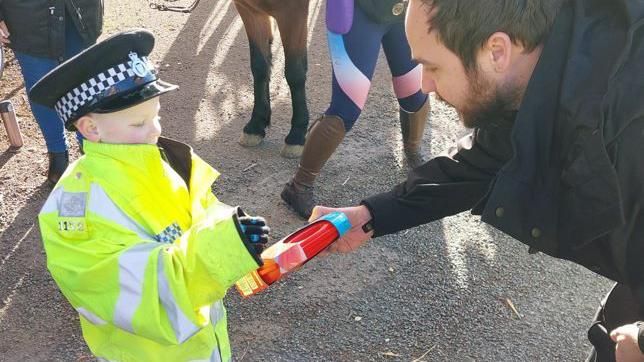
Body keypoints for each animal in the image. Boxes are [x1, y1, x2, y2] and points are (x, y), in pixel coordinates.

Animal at [233, 0, 310, 158]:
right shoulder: (249, 9)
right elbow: (260, 66)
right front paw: (256, 125)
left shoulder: (294, 11)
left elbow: (295, 73)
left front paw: (297, 134)